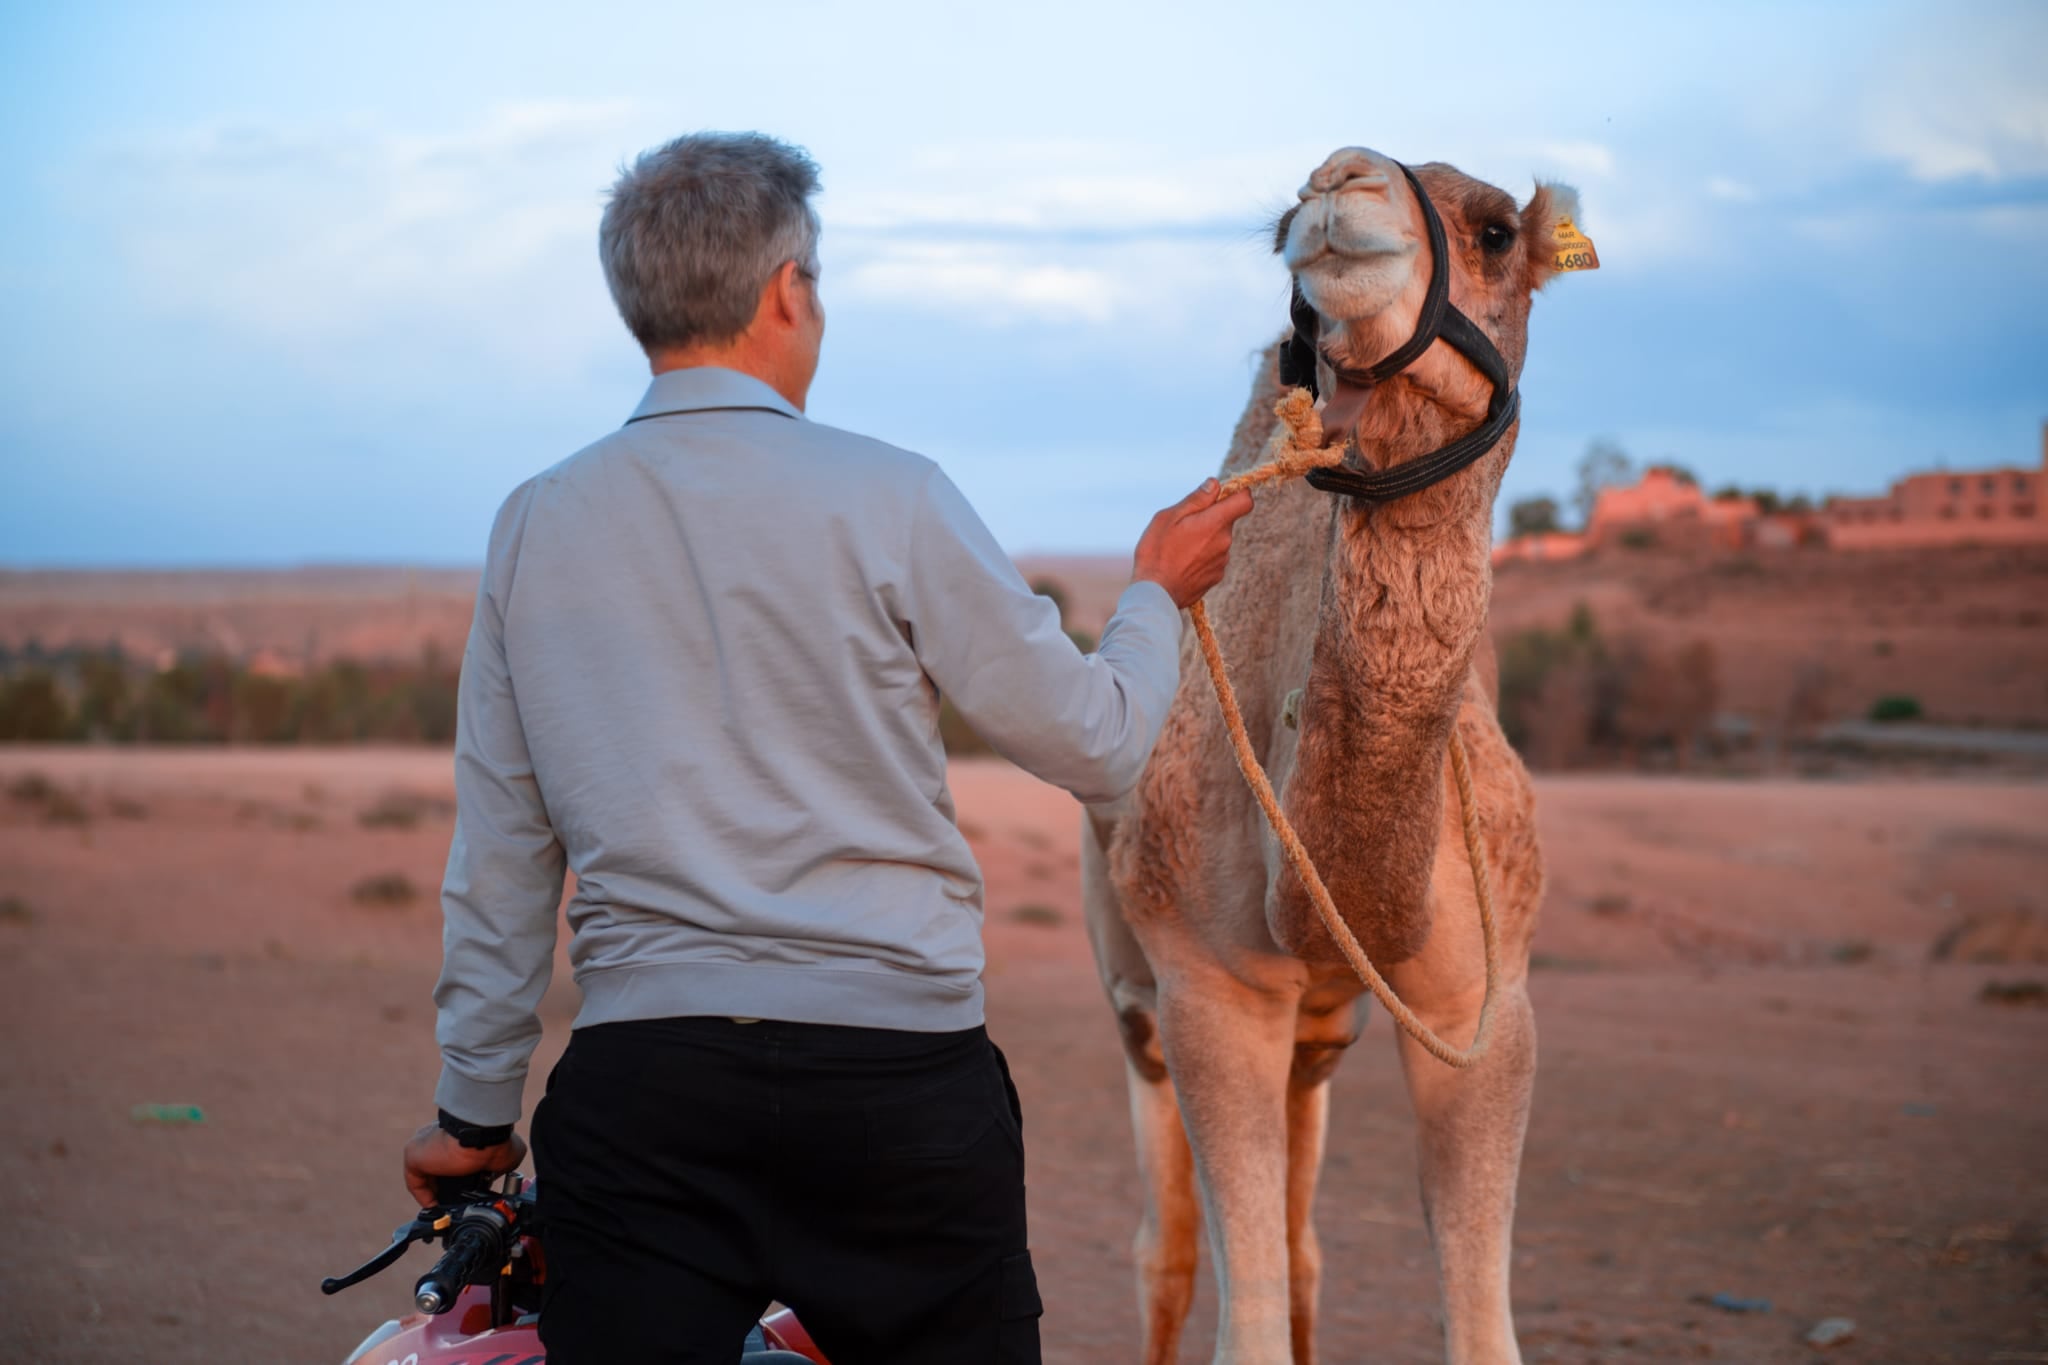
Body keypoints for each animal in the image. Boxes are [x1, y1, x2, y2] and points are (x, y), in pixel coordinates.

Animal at [1082, 146, 1589, 1364]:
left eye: (1494, 230)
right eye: (1279, 226)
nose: (1337, 183)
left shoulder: (1483, 1005)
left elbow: (1477, 1324)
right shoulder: (1209, 992)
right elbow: (1243, 1313)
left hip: (1318, 1037)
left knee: (1302, 1241)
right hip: (1135, 1006)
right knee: (1165, 1253)